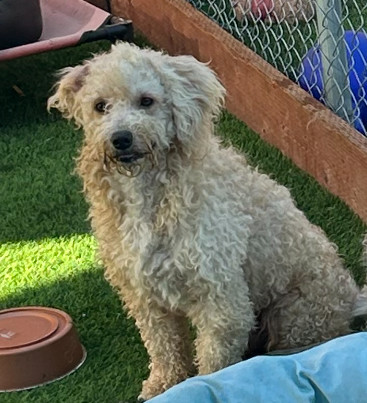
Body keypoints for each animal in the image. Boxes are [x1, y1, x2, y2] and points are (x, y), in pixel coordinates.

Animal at [48, 42, 367, 402]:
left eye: (147, 100)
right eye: (100, 106)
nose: (121, 137)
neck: (149, 194)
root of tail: (349, 297)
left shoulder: (221, 298)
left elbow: (215, 361)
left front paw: (204, 384)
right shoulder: (144, 294)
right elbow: (164, 346)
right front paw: (163, 384)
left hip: (296, 313)